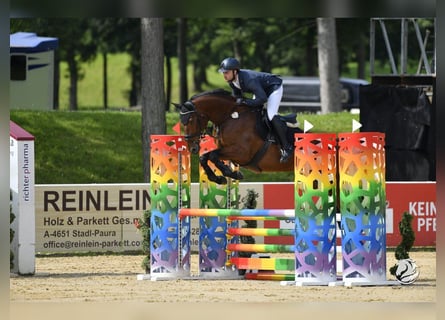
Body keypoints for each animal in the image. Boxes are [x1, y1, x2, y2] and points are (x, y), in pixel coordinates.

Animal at [173, 90, 302, 184]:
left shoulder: (242, 153)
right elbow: (205, 157)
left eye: (190, 120)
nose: (192, 148)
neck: (230, 117)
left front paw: (231, 173)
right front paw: (219, 178)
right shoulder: (226, 150)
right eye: (182, 122)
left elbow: (213, 155)